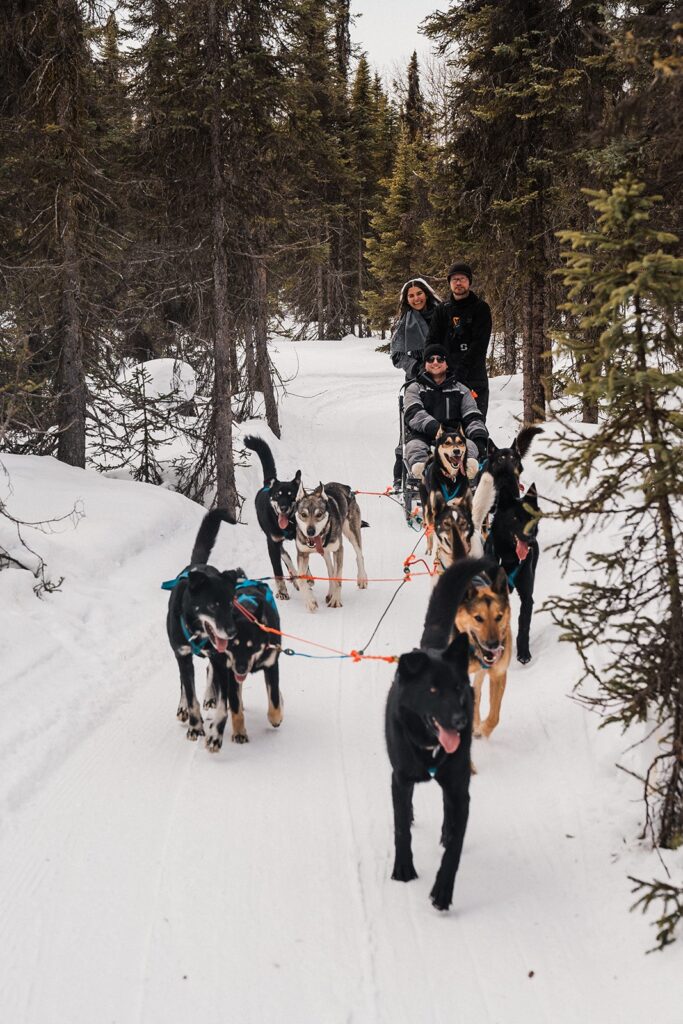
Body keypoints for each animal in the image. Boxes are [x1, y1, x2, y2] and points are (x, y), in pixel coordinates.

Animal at [244, 434, 301, 598]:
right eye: (278, 495)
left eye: (291, 495)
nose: (283, 508)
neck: (288, 526)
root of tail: (267, 484)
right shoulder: (272, 544)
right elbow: (278, 572)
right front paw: (282, 592)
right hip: (273, 539)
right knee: (285, 555)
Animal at [294, 481, 368, 610]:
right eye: (303, 514)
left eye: (319, 514)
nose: (310, 531)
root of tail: (344, 486)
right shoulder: (302, 554)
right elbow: (301, 580)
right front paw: (310, 601)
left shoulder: (339, 550)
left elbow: (337, 578)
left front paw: (335, 600)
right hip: (326, 553)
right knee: (330, 569)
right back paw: (330, 592)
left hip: (352, 533)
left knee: (359, 555)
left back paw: (362, 578)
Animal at [385, 561, 497, 913]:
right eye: (433, 690)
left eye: (458, 687)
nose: (461, 723)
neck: (431, 747)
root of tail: (432, 647)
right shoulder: (399, 778)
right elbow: (400, 828)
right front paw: (403, 868)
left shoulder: (461, 789)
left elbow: (455, 847)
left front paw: (443, 891)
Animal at [485, 425, 544, 659]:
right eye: (515, 519)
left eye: (531, 518)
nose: (530, 538)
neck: (509, 556)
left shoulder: (527, 594)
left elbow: (523, 623)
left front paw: (524, 651)